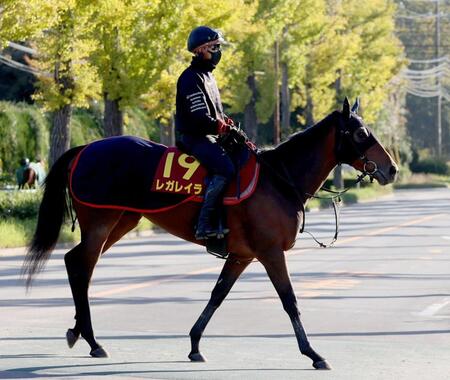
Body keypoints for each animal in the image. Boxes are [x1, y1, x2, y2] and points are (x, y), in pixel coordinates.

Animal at [22, 98, 400, 368]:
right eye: (360, 133)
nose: (392, 168)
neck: (278, 179)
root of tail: (84, 149)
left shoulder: (242, 255)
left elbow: (217, 295)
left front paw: (194, 344)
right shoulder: (270, 253)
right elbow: (289, 300)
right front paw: (312, 352)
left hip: (121, 221)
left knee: (79, 263)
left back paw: (79, 333)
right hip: (103, 219)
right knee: (81, 265)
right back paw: (92, 339)